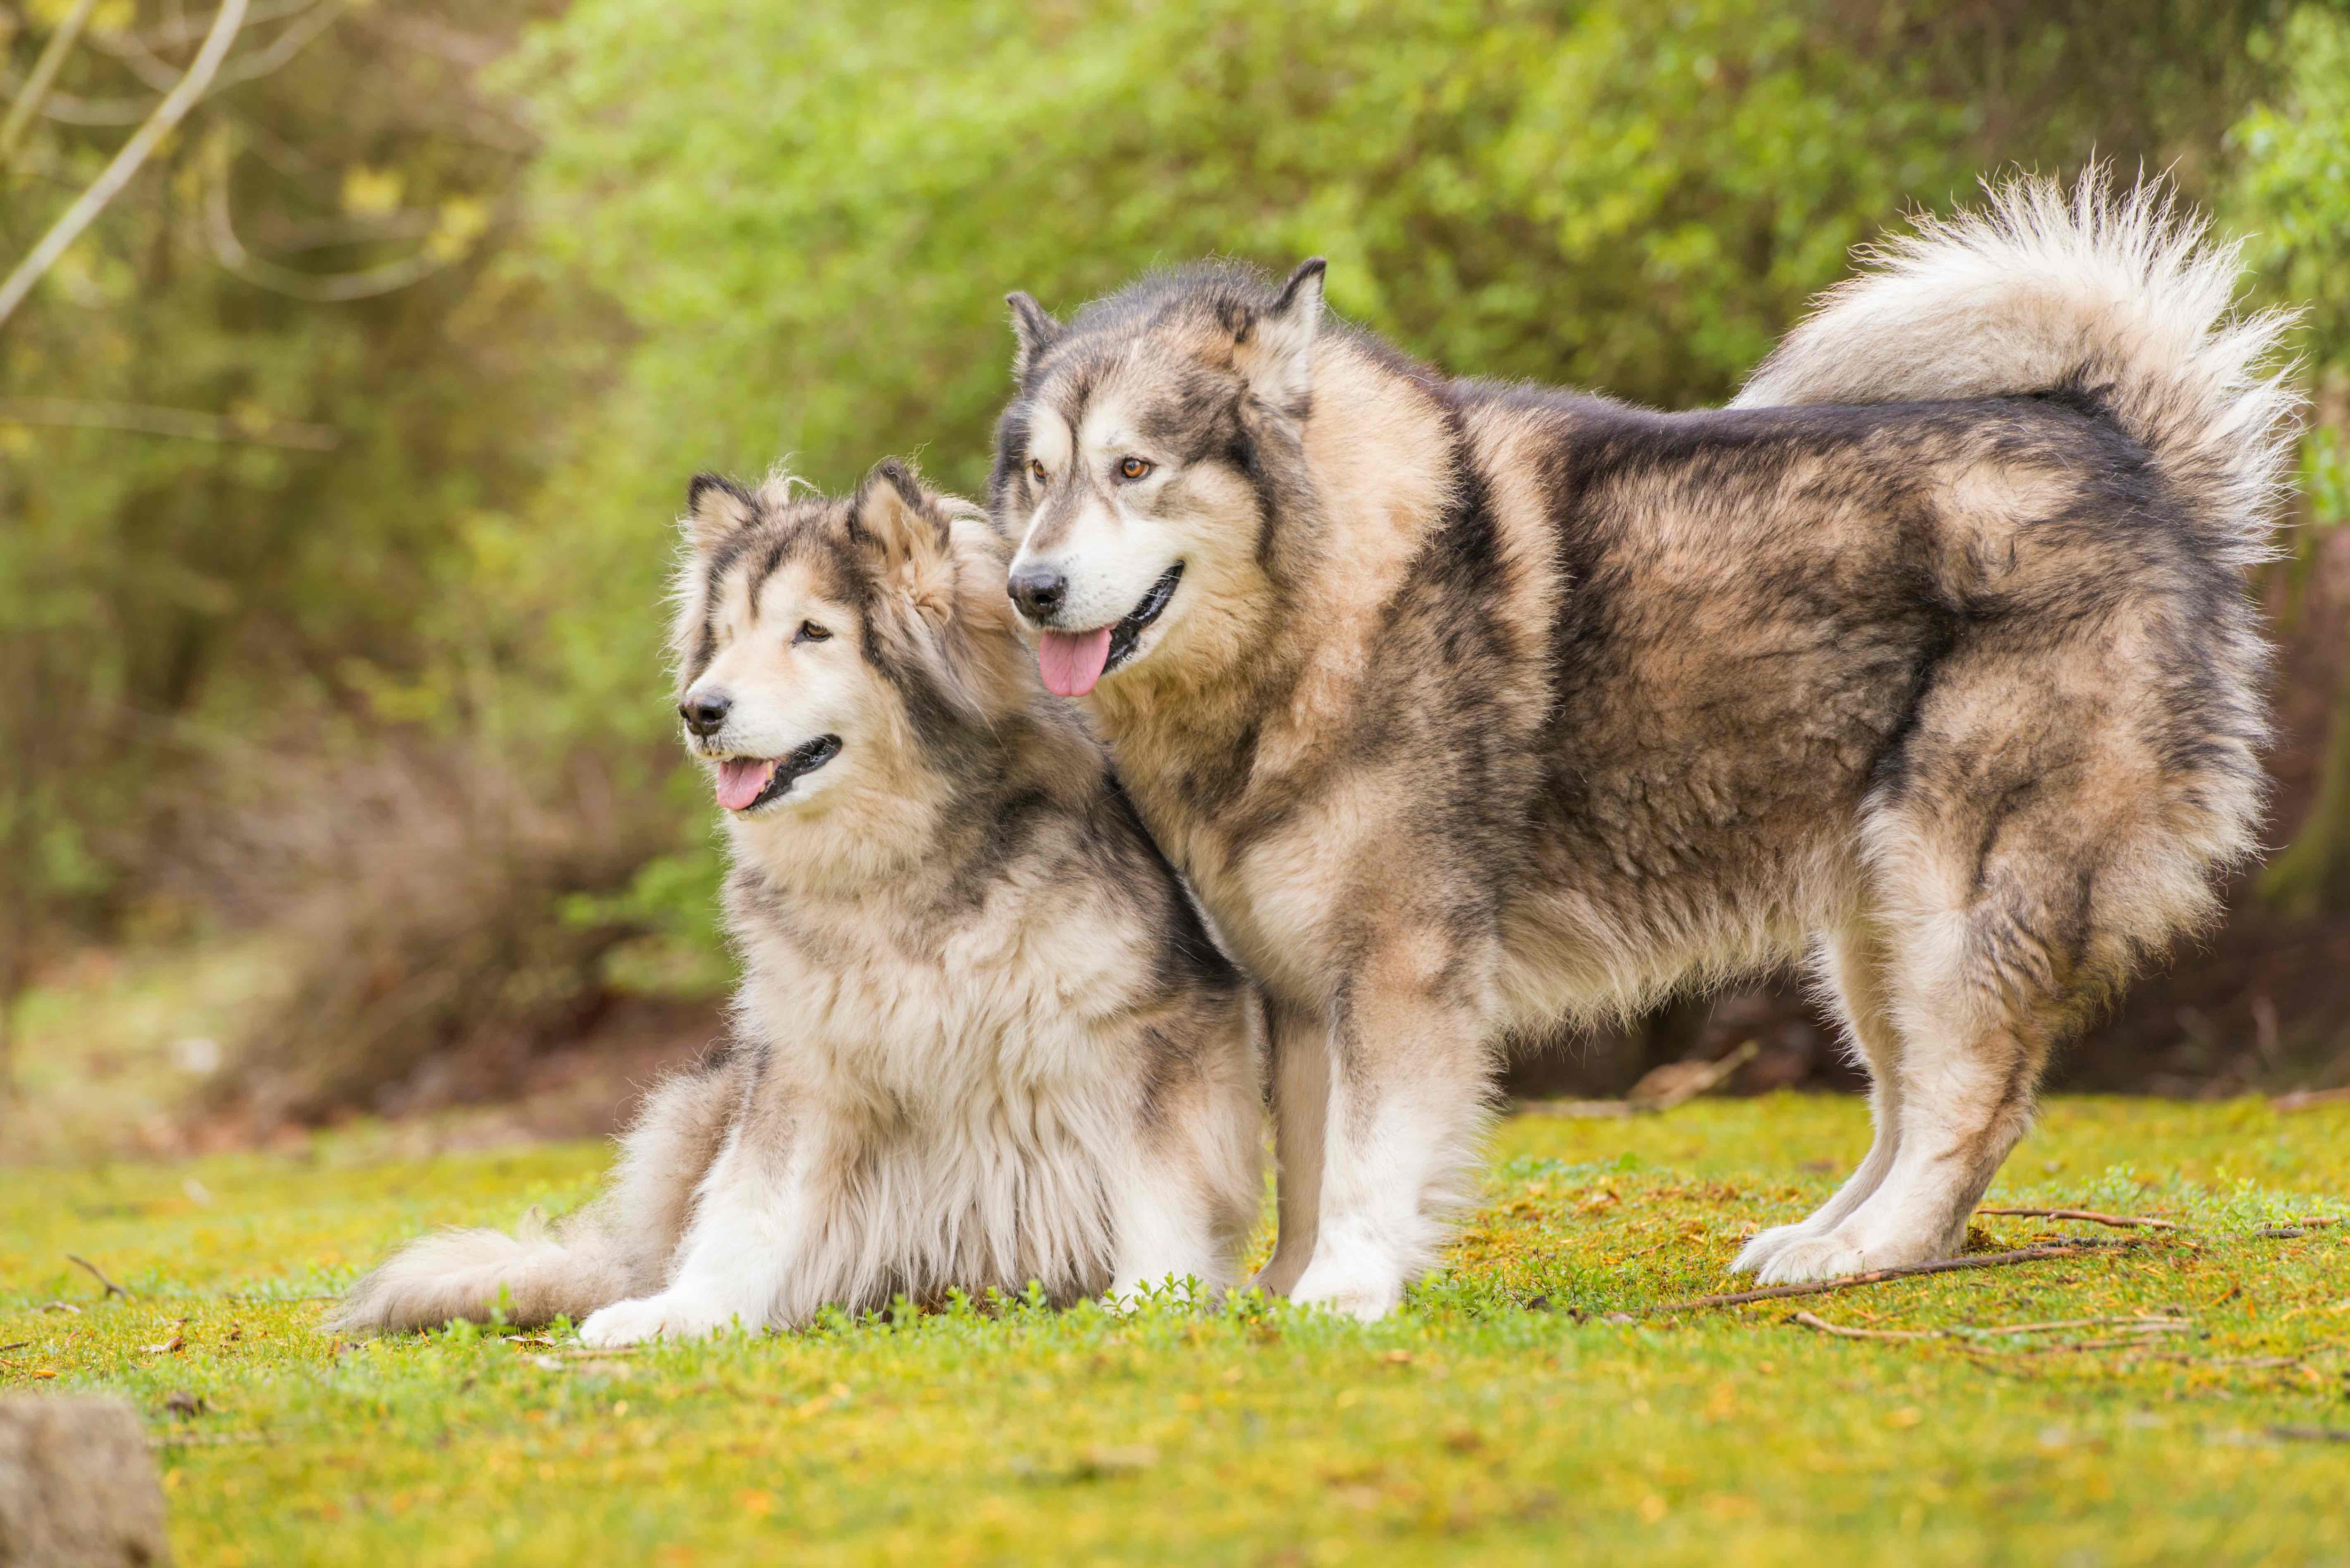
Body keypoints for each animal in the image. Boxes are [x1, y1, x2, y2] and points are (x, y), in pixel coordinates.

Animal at [331, 460, 1269, 1344]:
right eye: (725, 638)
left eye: (812, 632)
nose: (700, 709)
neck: (897, 862)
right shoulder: (800, 1063)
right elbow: (748, 1206)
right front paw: (688, 1312)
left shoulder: (1156, 1036)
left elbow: (1159, 1189)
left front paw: (1150, 1296)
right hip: (705, 1095)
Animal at [987, 177, 2294, 1316]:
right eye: (1039, 476)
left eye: (1135, 469)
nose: (1028, 589)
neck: (1328, 600)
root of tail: (2122, 453)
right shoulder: (1305, 986)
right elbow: (1304, 1168)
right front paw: (1278, 1291)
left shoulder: (1398, 965)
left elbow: (1365, 1162)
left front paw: (1343, 1296)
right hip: (1868, 933)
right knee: (1903, 1103)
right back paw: (1817, 1239)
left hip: (1953, 899)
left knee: (1970, 1108)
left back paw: (1872, 1254)